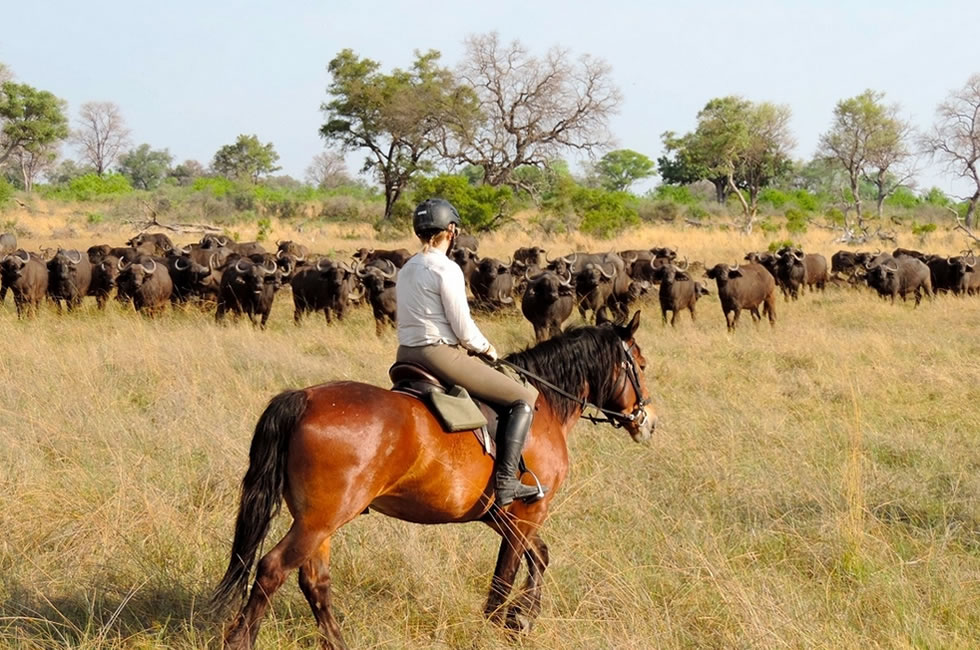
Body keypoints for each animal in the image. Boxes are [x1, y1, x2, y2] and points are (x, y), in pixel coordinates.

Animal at [214, 310, 660, 648]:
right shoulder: (527, 513)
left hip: (317, 522)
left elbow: (540, 557)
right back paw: (240, 641)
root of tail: (305, 398)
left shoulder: (503, 516)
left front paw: (521, 618)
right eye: (640, 365)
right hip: (319, 520)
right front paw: (509, 622)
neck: (545, 404)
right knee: (272, 570)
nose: (649, 421)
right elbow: (507, 577)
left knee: (314, 582)